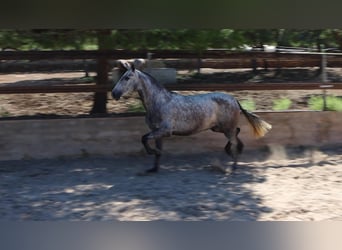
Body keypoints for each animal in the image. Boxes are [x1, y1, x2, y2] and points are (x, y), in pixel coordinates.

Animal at [113, 60, 272, 174]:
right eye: (122, 77)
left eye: (127, 78)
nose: (114, 94)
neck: (159, 102)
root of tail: (234, 100)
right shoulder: (157, 132)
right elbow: (152, 146)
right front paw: (153, 168)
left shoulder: (165, 131)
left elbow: (144, 139)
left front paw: (153, 152)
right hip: (218, 128)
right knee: (237, 135)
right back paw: (232, 153)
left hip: (226, 128)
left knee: (234, 140)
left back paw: (233, 167)